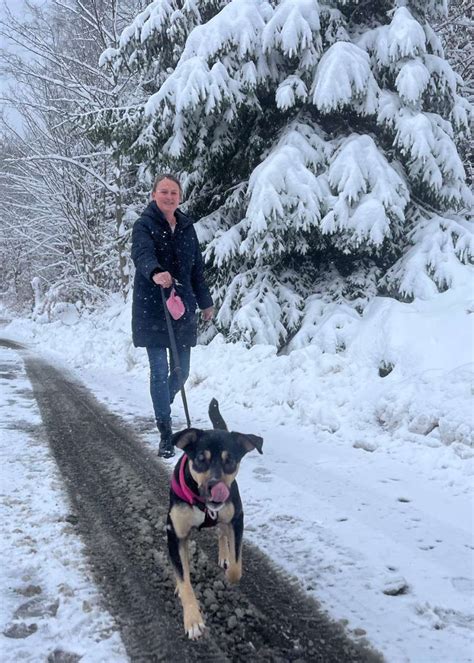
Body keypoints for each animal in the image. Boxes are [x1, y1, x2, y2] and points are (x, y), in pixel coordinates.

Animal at [166, 396, 262, 640]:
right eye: (201, 459)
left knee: (222, 532)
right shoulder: (174, 532)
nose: (214, 486)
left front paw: (229, 571)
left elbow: (236, 568)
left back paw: (224, 555)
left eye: (230, 461)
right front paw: (193, 620)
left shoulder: (237, 519)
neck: (201, 503)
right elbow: (184, 577)